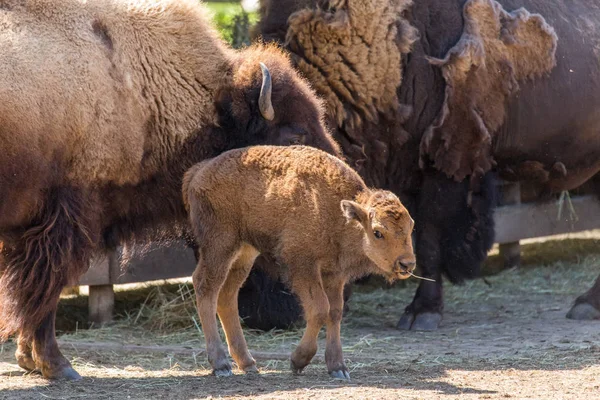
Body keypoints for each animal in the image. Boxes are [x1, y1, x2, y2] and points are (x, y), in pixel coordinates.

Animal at [0, 0, 338, 382]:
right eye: (294, 134)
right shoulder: (63, 225)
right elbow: (45, 294)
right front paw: (59, 366)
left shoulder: (29, 232)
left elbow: (32, 295)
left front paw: (30, 359)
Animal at [184, 146, 418, 378]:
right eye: (378, 232)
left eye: (411, 226)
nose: (407, 264)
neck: (336, 213)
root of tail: (200, 171)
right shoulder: (303, 266)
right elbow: (320, 309)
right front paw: (298, 361)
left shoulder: (334, 273)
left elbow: (335, 312)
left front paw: (338, 367)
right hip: (220, 245)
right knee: (206, 287)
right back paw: (221, 364)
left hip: (245, 253)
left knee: (227, 295)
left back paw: (247, 363)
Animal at [241, 0, 600, 332]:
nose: (259, 316)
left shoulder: (443, 169)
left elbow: (428, 238)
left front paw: (421, 313)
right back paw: (586, 304)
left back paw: (585, 305)